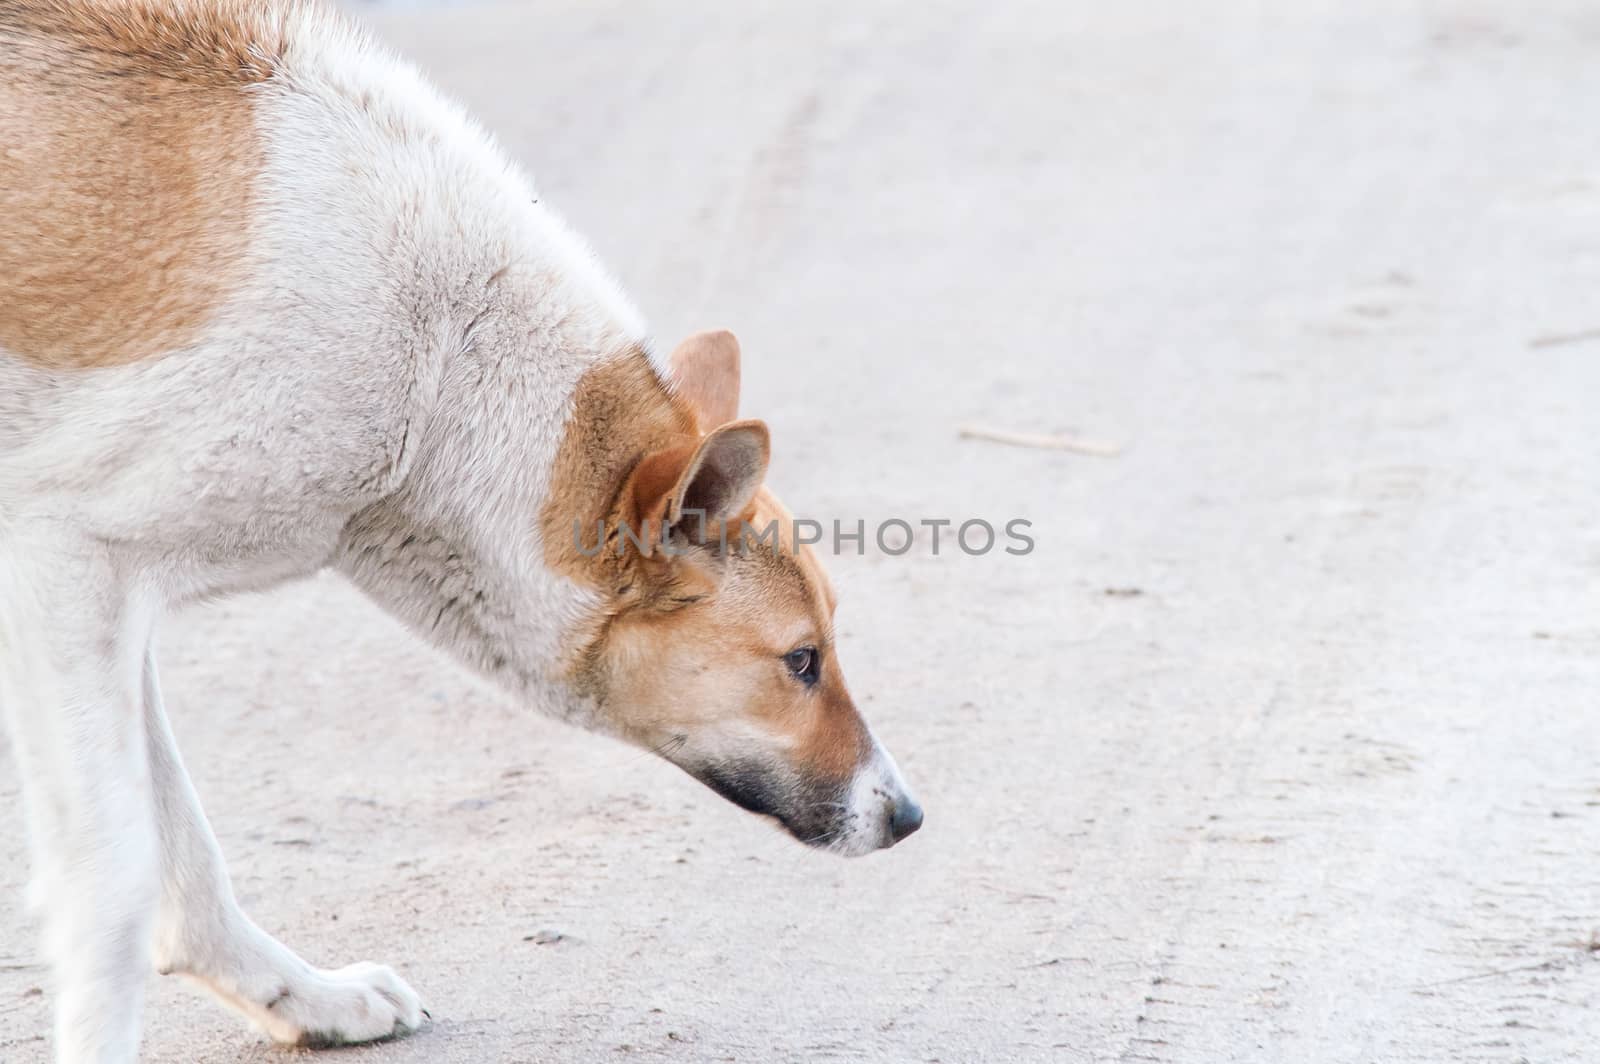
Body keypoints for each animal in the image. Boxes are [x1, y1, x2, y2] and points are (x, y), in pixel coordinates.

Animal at [0, 4, 928, 1056]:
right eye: (802, 662)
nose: (909, 815)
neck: (439, 354)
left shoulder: (98, 597)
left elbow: (183, 861)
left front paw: (305, 998)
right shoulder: (66, 571)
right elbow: (113, 886)